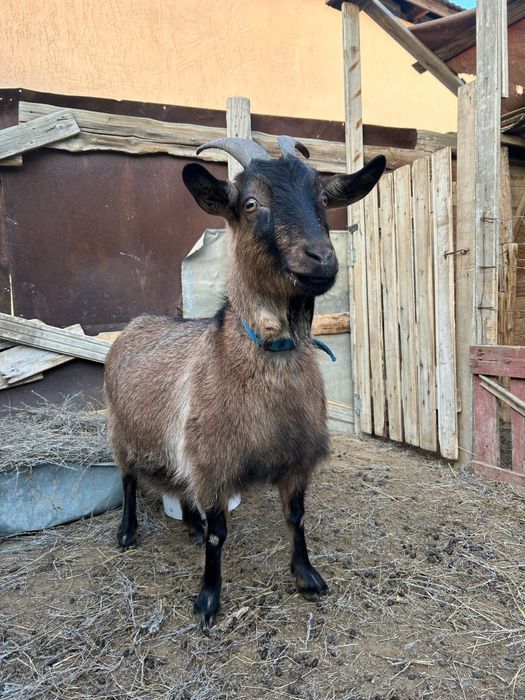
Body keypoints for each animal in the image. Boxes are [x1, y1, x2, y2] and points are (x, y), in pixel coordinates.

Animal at [104, 136, 385, 629]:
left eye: (322, 200)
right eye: (251, 203)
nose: (321, 259)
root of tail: (134, 325)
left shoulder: (293, 460)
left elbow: (296, 518)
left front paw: (307, 578)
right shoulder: (215, 461)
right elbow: (220, 535)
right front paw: (207, 601)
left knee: (179, 483)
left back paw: (190, 527)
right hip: (122, 432)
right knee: (128, 479)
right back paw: (127, 532)